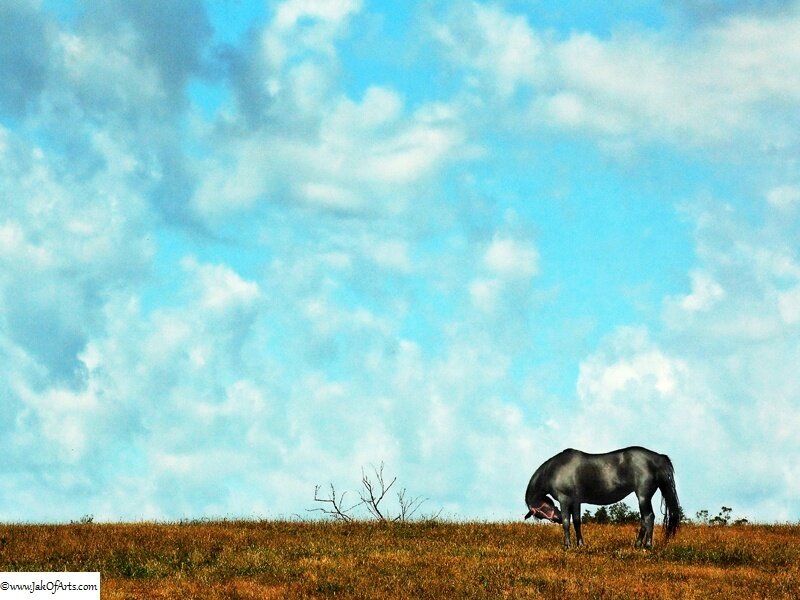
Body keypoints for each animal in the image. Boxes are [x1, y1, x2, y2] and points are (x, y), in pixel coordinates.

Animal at [524, 446, 680, 549]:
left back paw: (646, 545)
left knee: (648, 517)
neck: (554, 470)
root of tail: (658, 457)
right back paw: (638, 544)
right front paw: (580, 544)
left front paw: (567, 546)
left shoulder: (565, 500)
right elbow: (577, 522)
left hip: (643, 496)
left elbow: (567, 523)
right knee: (645, 518)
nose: (558, 518)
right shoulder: (576, 501)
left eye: (540, 512)